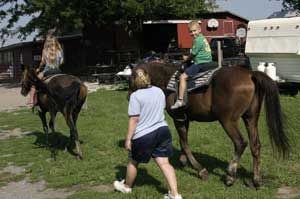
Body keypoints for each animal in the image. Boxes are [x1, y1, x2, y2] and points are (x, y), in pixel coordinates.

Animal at [130, 63, 290, 187]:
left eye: (132, 78)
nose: (129, 97)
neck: (167, 78)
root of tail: (250, 74)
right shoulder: (185, 120)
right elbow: (183, 142)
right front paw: (183, 160)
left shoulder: (178, 119)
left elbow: (185, 143)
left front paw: (200, 170)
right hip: (250, 119)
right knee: (255, 145)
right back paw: (256, 180)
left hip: (228, 121)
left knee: (240, 143)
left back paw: (231, 175)